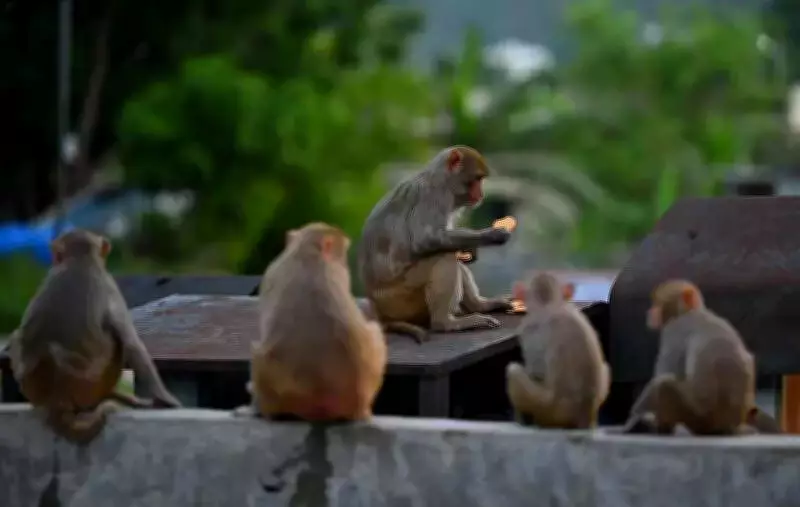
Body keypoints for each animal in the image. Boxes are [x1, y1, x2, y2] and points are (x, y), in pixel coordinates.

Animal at [7, 229, 181, 445]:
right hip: (94, 384)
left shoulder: (46, 280)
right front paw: (166, 399)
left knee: (17, 337)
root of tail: (57, 400)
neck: (80, 260)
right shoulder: (109, 285)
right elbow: (133, 344)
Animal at [359, 146, 517, 344]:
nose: (481, 195)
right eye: (477, 179)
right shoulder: (434, 196)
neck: (441, 179)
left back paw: (480, 305)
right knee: (443, 256)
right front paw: (491, 235)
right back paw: (446, 323)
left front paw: (471, 248)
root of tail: (379, 310)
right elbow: (426, 240)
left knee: (450, 253)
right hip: (401, 298)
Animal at [505, 272, 610, 429]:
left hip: (548, 409)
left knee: (514, 371)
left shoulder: (528, 330)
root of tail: (585, 414)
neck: (550, 303)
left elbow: (535, 371)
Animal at [622, 280, 757, 436]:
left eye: (656, 303)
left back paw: (662, 427)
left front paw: (634, 416)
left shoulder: (673, 330)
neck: (690, 312)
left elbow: (664, 373)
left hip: (697, 418)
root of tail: (725, 426)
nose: (650, 312)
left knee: (664, 384)